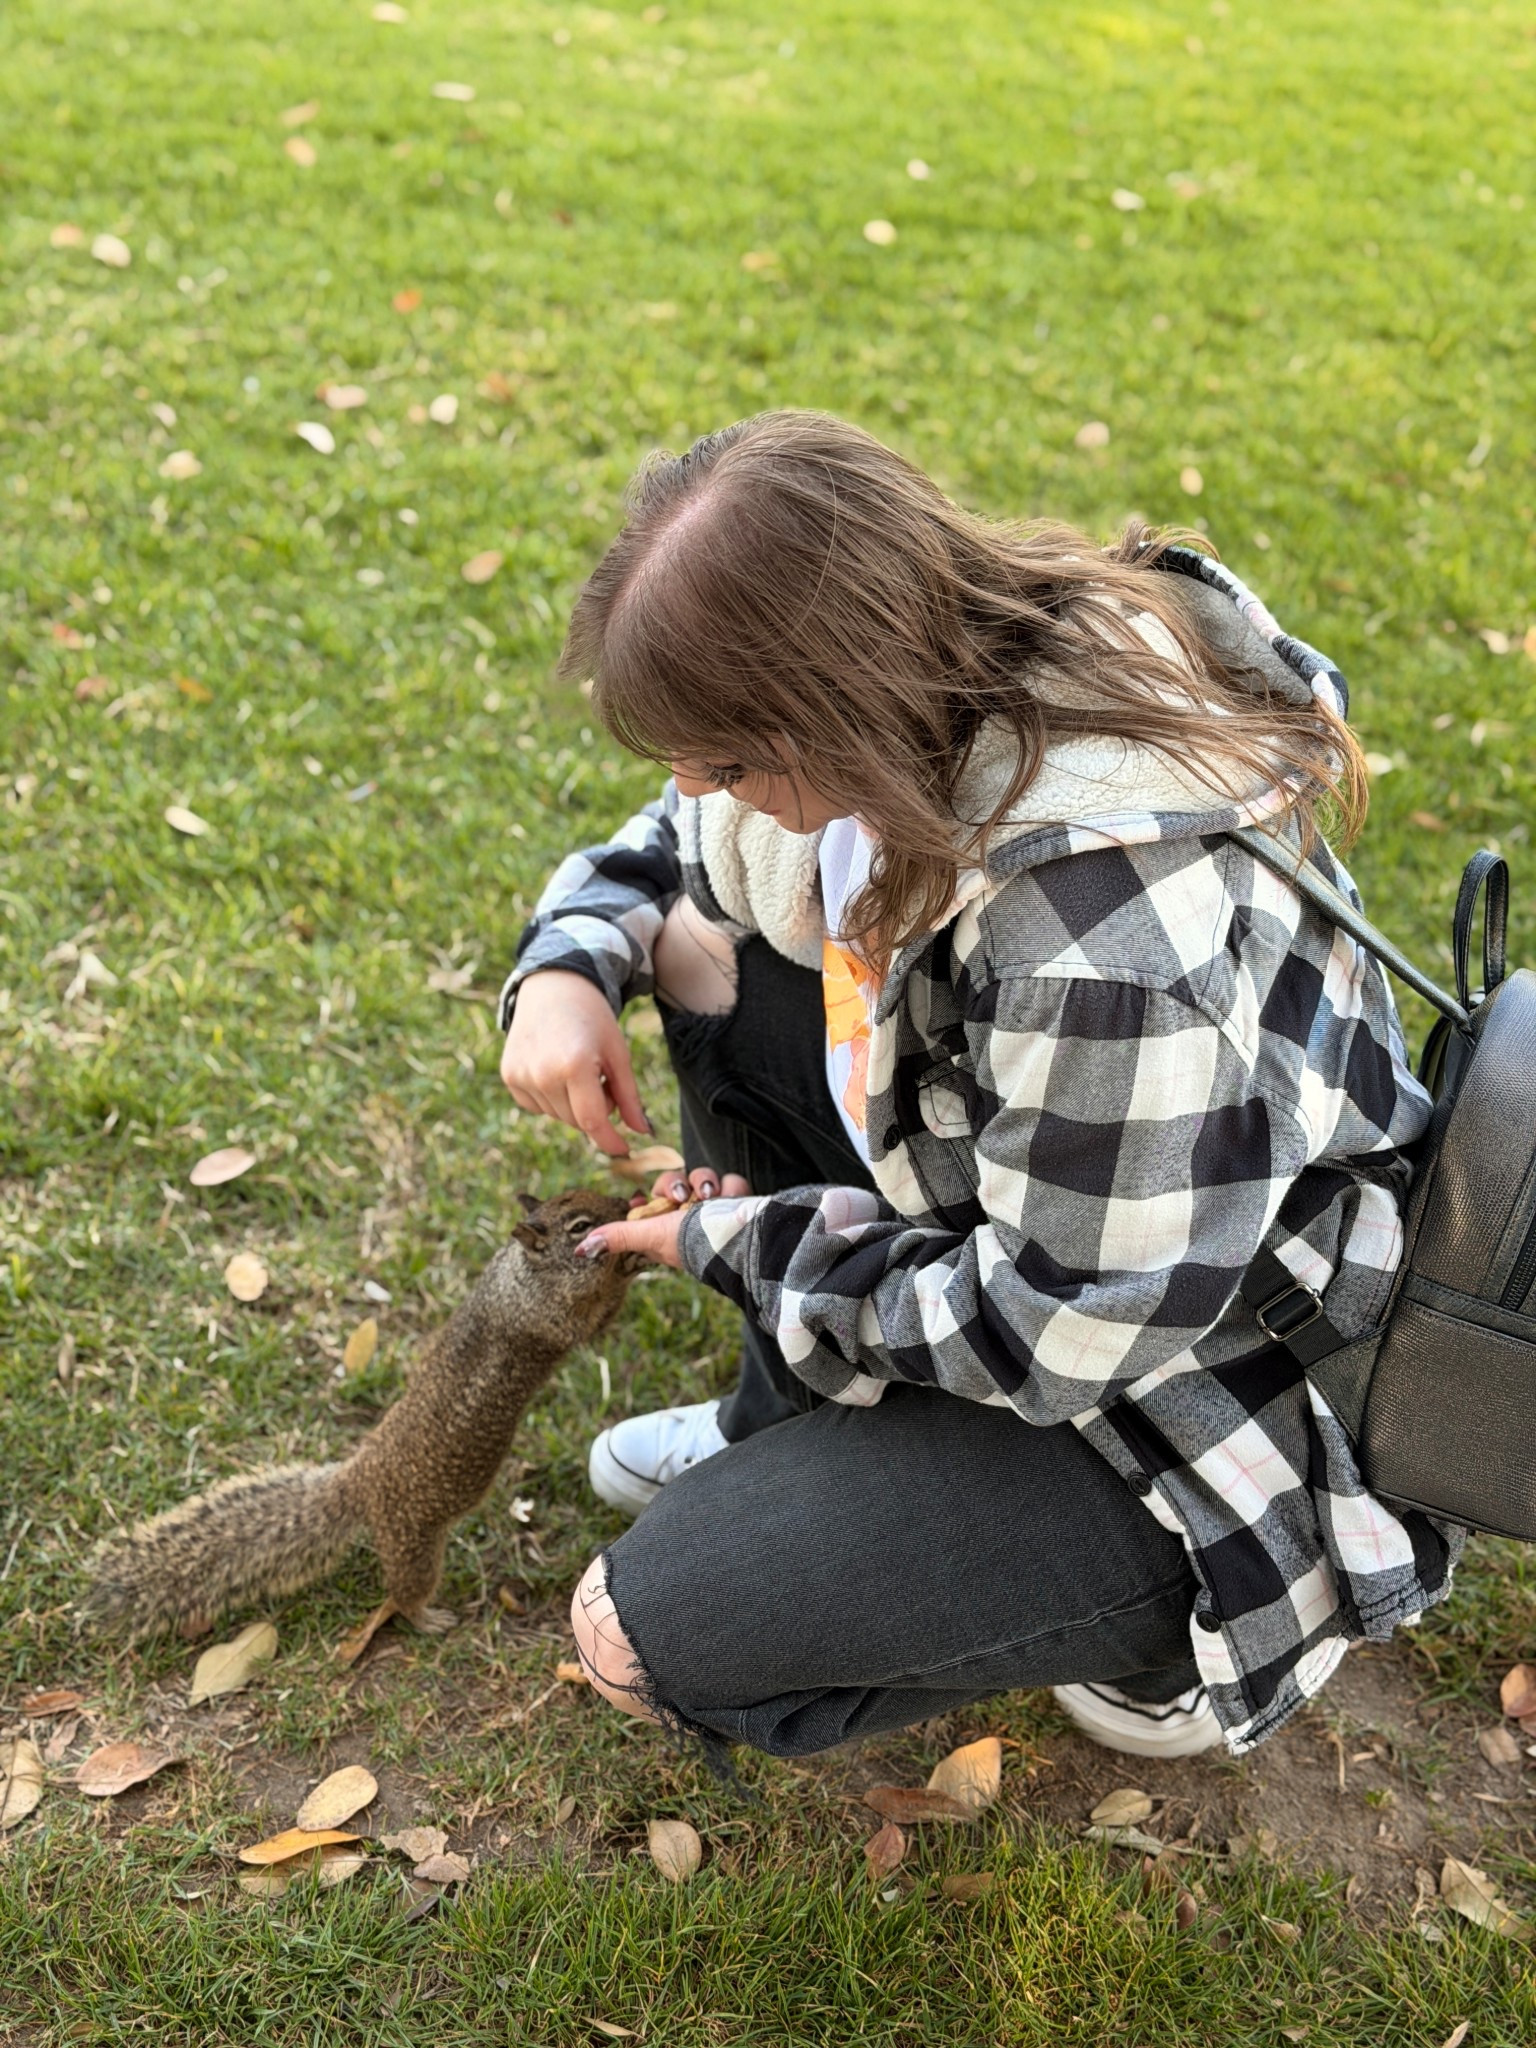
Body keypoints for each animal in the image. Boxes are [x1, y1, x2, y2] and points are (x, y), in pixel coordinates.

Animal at [79, 1188, 646, 1660]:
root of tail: (359, 1482)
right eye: (578, 1226)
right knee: (403, 1594)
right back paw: (428, 1617)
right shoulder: (548, 1318)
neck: (519, 1275)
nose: (627, 1200)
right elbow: (591, 1320)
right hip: (414, 1546)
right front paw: (631, 1259)